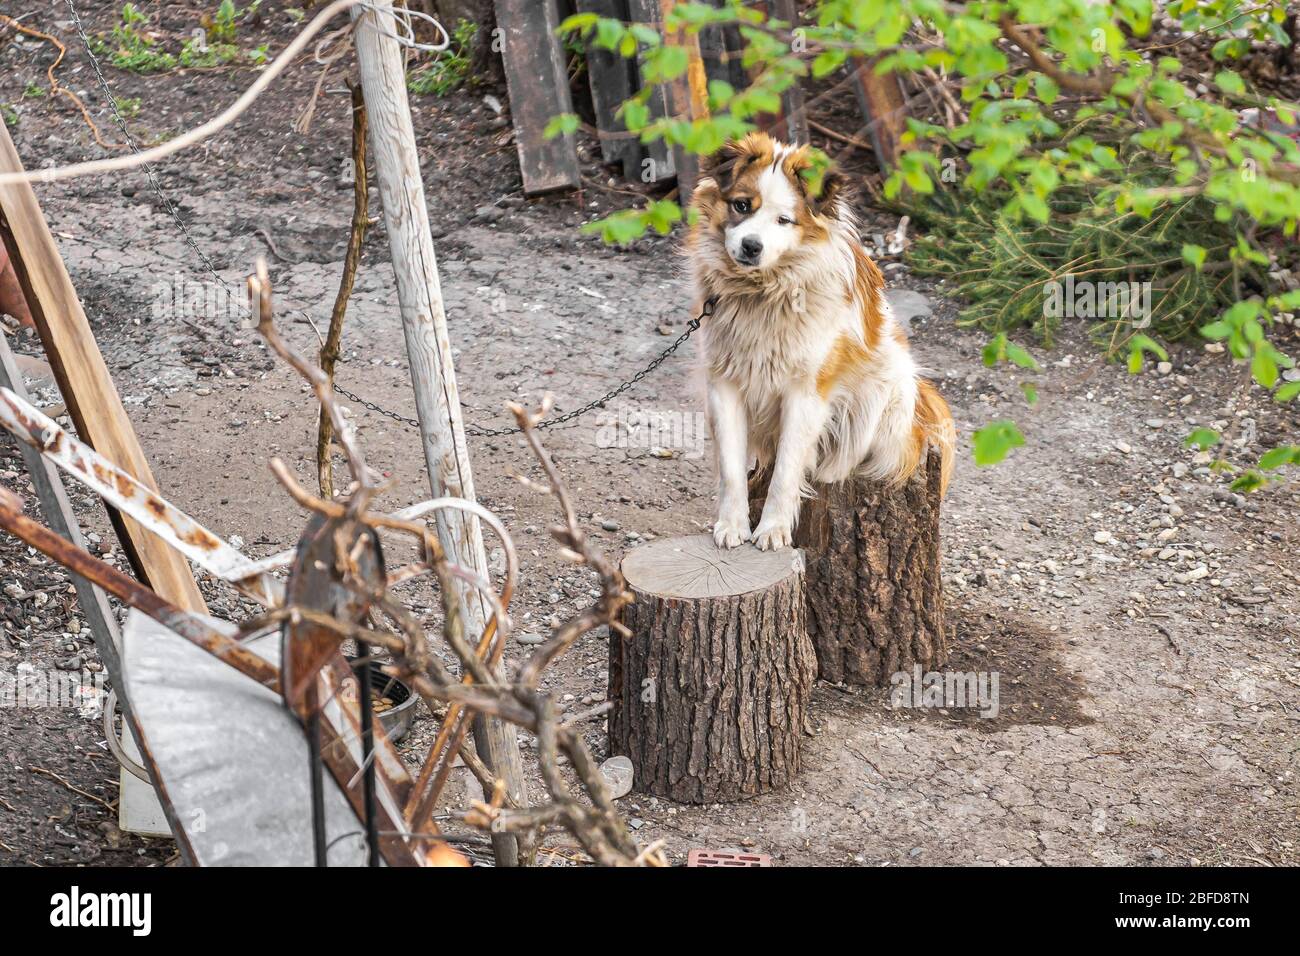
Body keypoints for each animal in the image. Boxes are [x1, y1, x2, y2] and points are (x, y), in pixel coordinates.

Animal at [691, 134, 956, 554]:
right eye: (742, 205)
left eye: (785, 220)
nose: (751, 246)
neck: (764, 294)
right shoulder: (724, 382)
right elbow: (731, 467)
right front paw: (732, 524)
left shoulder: (807, 392)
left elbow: (787, 469)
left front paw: (773, 529)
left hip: (884, 393)